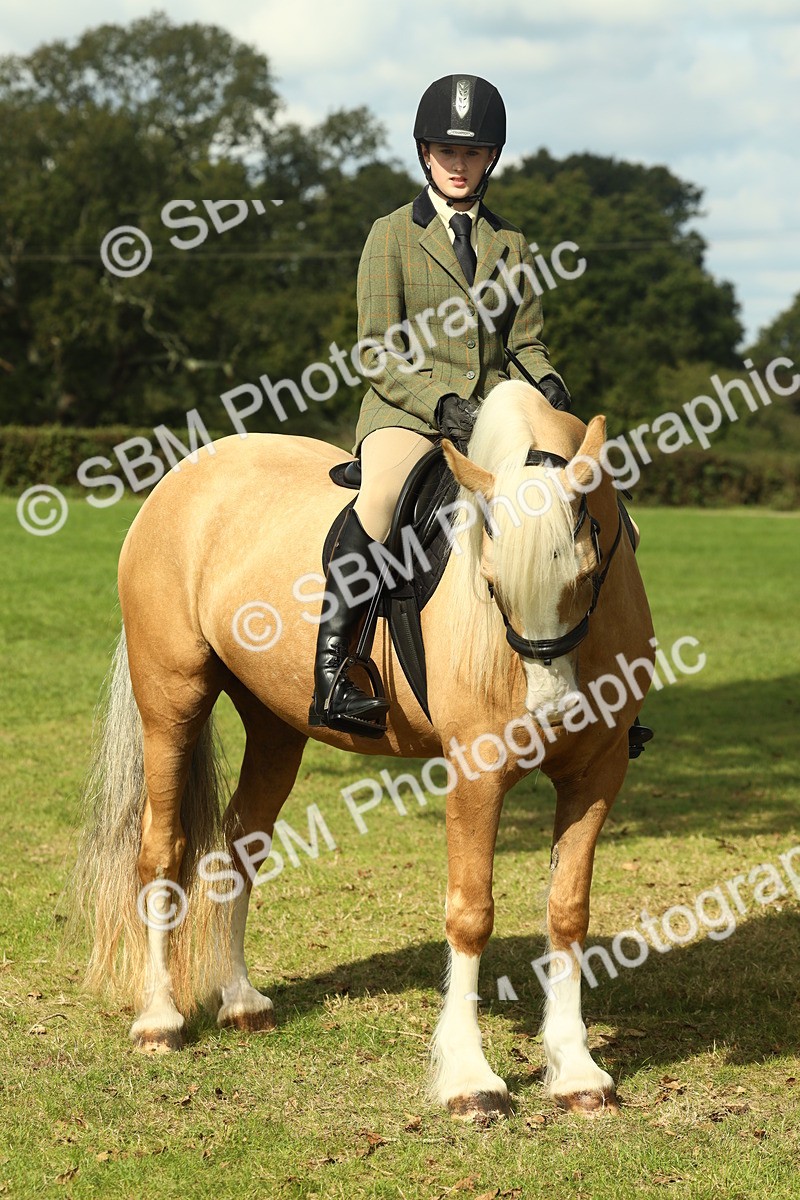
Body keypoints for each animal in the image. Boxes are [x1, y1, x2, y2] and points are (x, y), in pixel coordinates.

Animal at [72, 380, 654, 1119]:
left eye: (587, 571)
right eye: (491, 583)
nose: (552, 711)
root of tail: (181, 477)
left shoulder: (596, 774)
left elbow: (568, 911)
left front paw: (577, 1071)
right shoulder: (478, 773)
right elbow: (471, 914)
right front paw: (471, 1080)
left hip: (274, 726)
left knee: (238, 847)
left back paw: (241, 1002)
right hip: (171, 703)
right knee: (162, 851)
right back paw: (159, 1019)